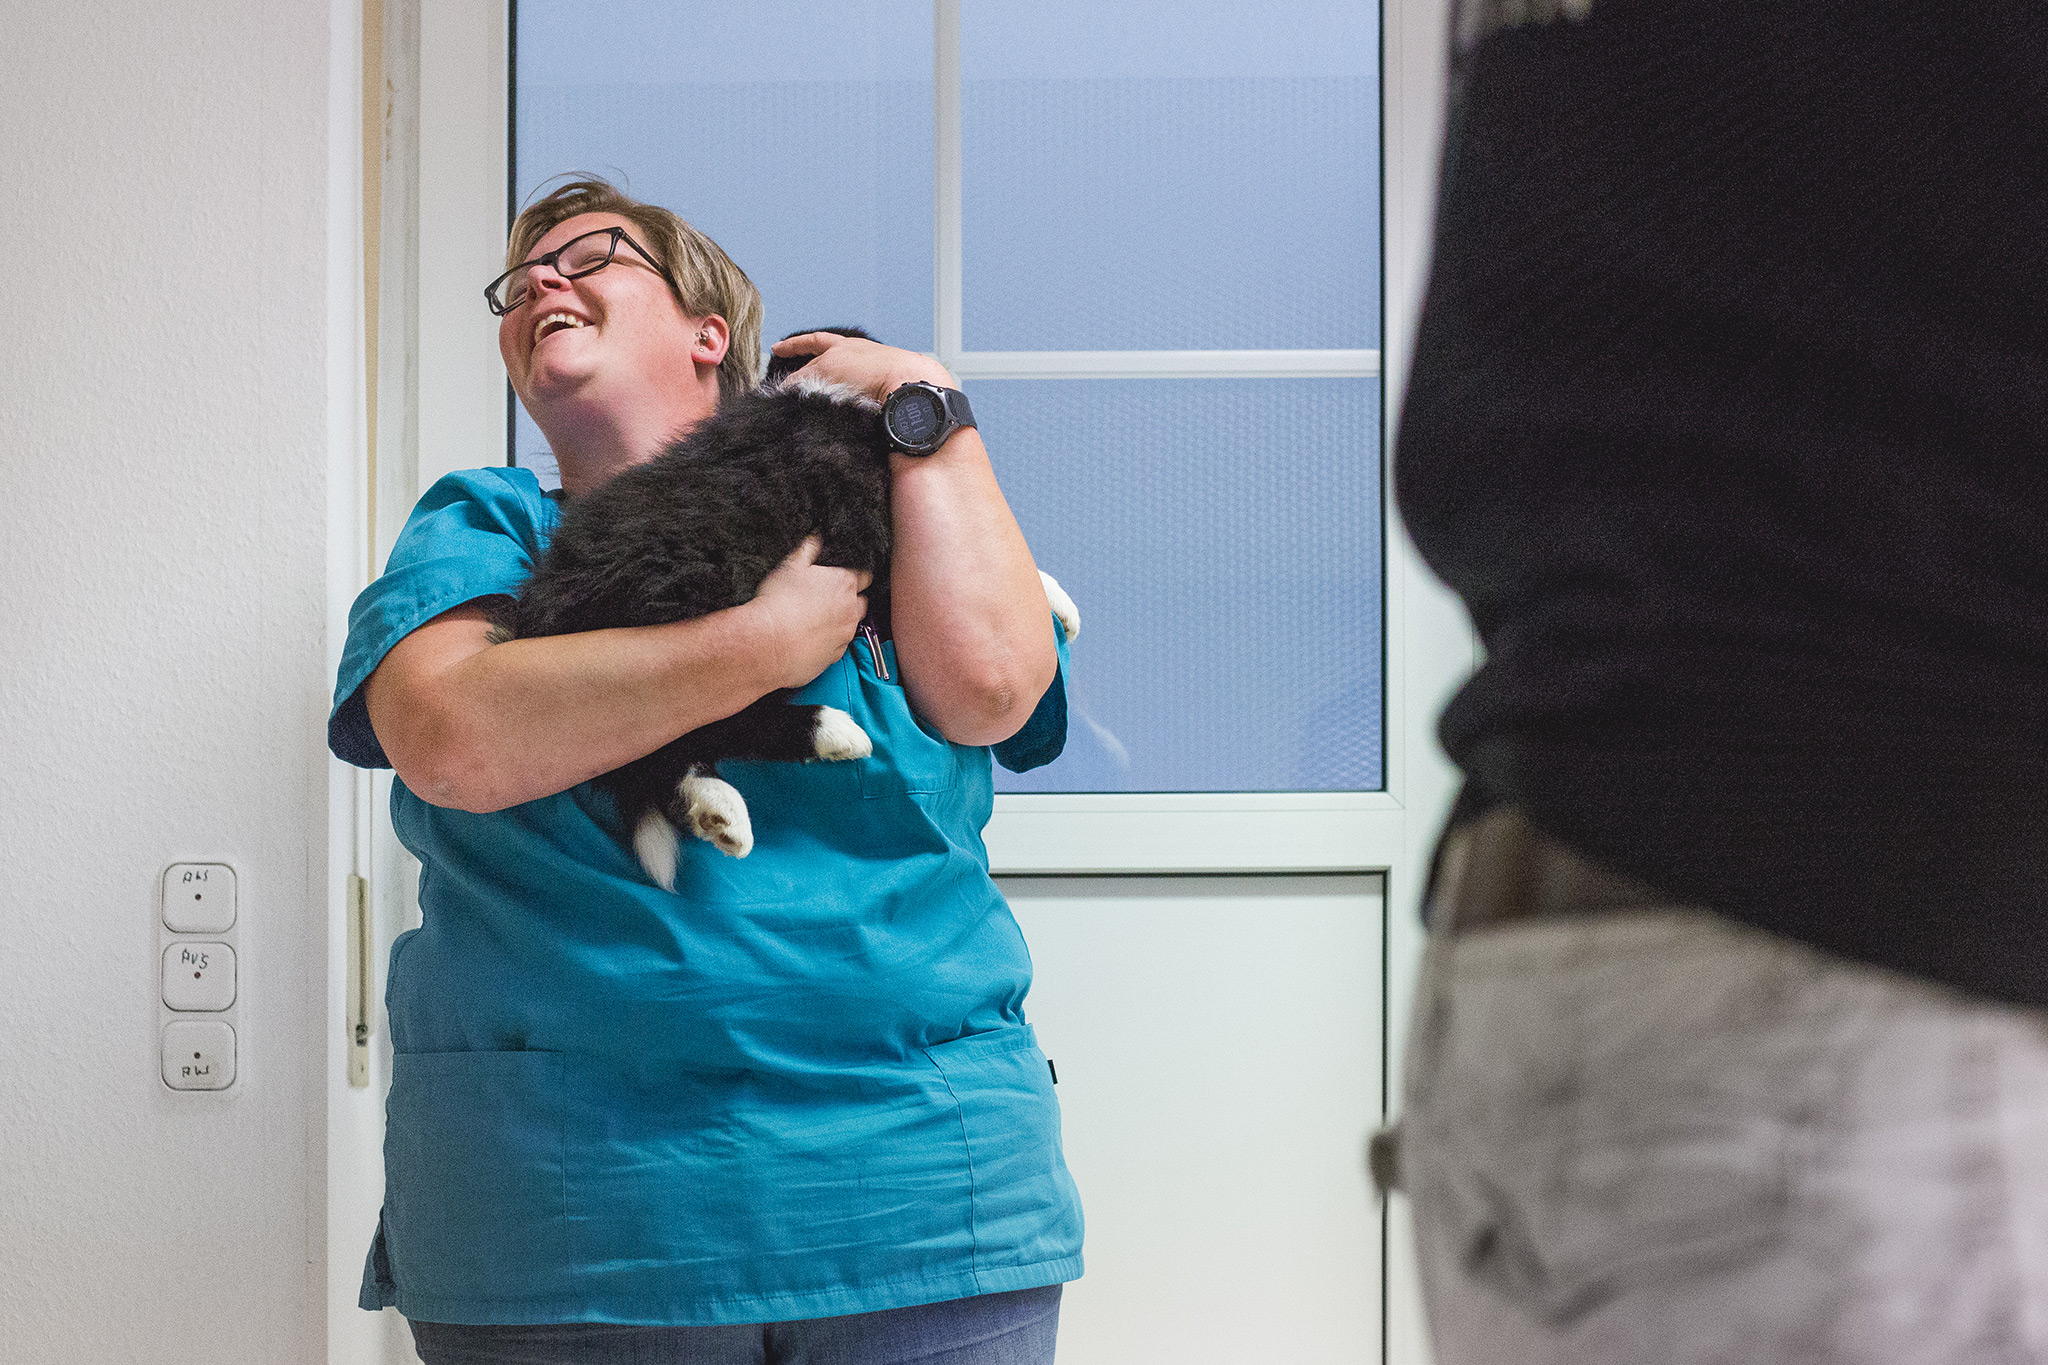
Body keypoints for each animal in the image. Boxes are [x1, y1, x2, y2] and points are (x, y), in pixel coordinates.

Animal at [489, 327, 1081, 892]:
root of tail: (544, 618)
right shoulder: (870, 548)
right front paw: (1063, 605)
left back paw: (715, 808)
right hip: (685, 623)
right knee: (704, 724)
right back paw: (826, 734)